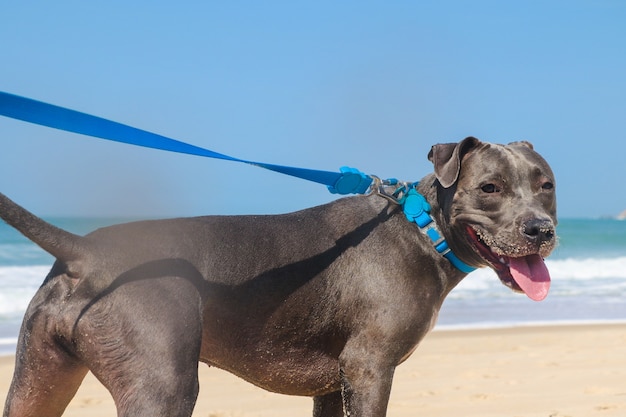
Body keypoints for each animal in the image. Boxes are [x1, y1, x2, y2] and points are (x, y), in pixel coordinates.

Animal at [0, 136, 556, 412]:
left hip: (38, 378)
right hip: (161, 387)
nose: (542, 229)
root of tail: (85, 250)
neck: (424, 228)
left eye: (546, 184)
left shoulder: (335, 384)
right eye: (489, 187)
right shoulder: (370, 369)